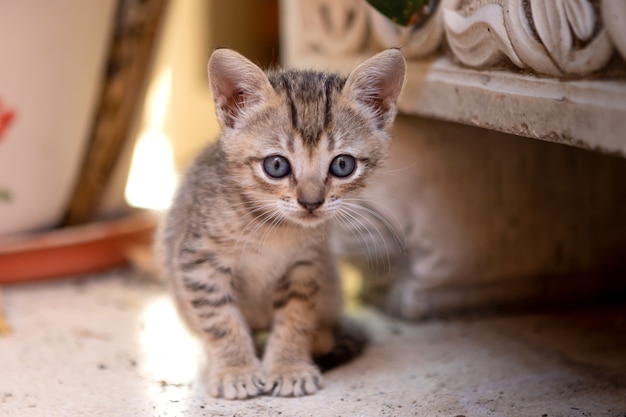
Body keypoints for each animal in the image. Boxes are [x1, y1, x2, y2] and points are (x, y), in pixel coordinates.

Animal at [160, 47, 404, 398]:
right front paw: (236, 369)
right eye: (276, 165)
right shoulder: (198, 262)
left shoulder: (306, 265)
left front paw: (289, 366)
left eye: (342, 165)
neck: (273, 227)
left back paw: (320, 340)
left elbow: (295, 318)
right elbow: (220, 320)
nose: (311, 202)